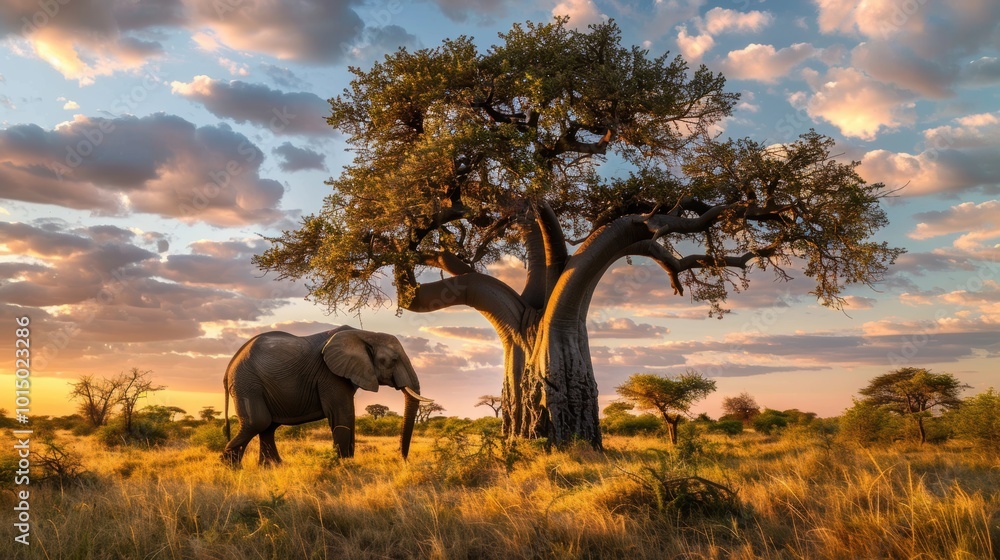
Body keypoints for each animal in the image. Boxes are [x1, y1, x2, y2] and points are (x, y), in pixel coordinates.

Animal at [220, 325, 432, 467]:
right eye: (393, 360)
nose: (402, 459)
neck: (366, 334)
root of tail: (230, 366)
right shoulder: (329, 375)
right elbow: (343, 416)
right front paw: (344, 465)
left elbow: (348, 416)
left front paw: (348, 463)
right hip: (247, 382)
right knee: (258, 422)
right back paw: (229, 466)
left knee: (268, 426)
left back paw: (272, 467)